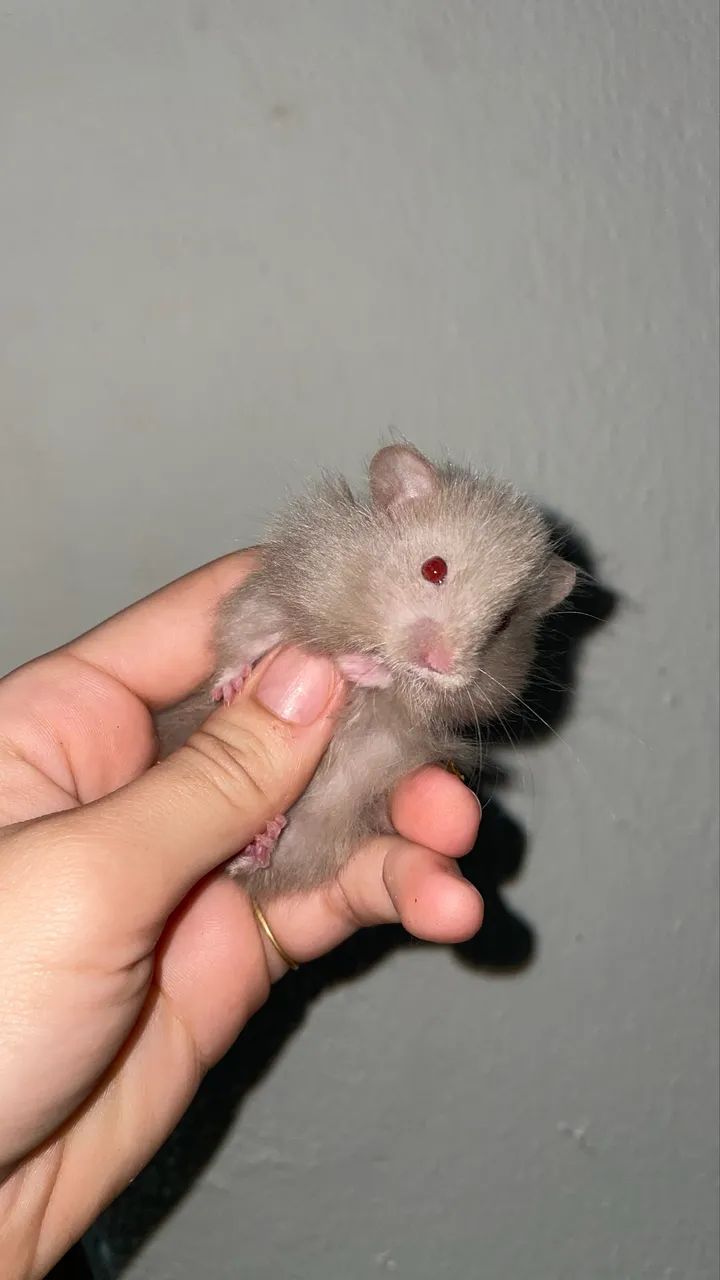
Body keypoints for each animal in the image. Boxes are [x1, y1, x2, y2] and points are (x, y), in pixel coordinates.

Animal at [155, 443, 576, 902]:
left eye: (503, 623)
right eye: (433, 568)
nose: (439, 662)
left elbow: (411, 691)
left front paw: (359, 667)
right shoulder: (281, 592)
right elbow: (249, 634)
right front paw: (230, 688)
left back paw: (260, 843)